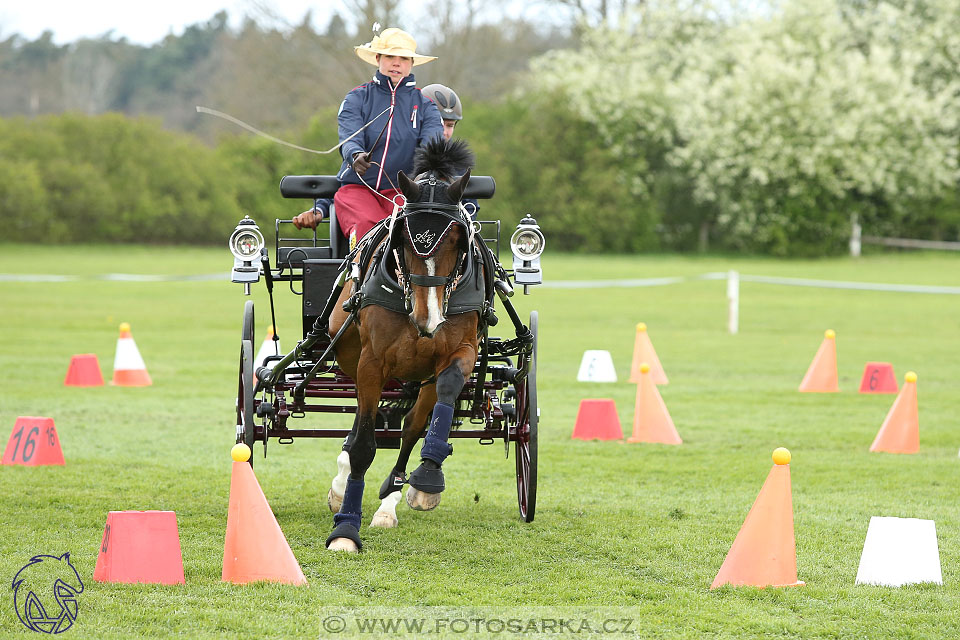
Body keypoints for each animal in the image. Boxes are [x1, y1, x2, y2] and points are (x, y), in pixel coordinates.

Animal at [324, 138, 488, 552]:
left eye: (457, 239)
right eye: (404, 238)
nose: (427, 318)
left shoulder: (462, 351)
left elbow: (440, 397)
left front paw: (427, 478)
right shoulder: (372, 362)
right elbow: (364, 444)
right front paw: (345, 530)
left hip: (422, 376)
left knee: (413, 424)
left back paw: (395, 496)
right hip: (351, 355)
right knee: (360, 423)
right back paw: (343, 483)